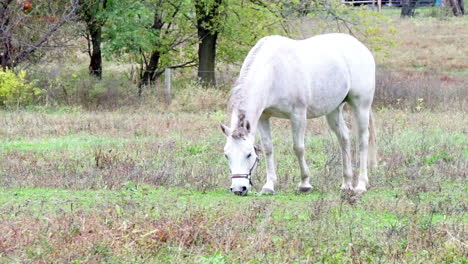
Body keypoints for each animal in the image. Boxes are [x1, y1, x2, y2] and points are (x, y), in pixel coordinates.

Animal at [221, 33, 378, 195]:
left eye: (249, 154)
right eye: (226, 155)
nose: (239, 189)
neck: (274, 71)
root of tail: (361, 47)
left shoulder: (298, 115)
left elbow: (298, 148)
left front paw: (305, 184)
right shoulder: (263, 117)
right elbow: (268, 148)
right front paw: (269, 186)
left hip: (361, 106)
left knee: (363, 141)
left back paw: (361, 185)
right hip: (333, 110)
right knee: (344, 138)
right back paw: (346, 183)